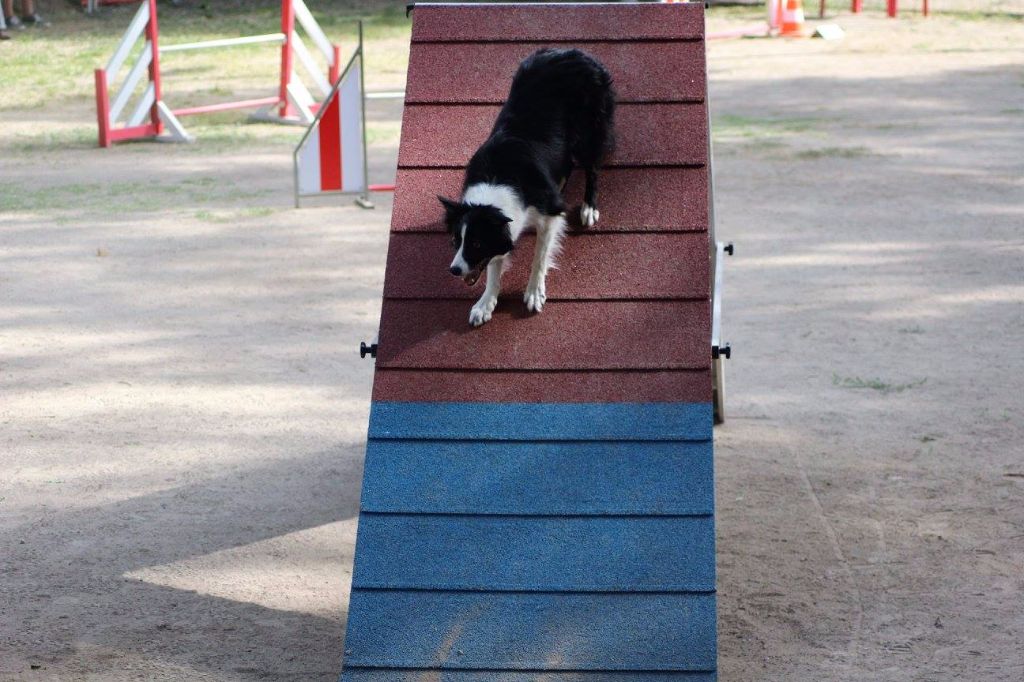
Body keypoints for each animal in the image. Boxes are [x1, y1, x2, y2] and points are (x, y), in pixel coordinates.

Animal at [440, 47, 614, 323]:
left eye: (476, 243)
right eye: (457, 241)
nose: (454, 270)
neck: (497, 180)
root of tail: (575, 52)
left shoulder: (549, 214)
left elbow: (540, 257)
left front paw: (534, 293)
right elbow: (494, 265)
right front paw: (486, 303)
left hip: (592, 127)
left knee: (592, 167)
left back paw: (589, 207)